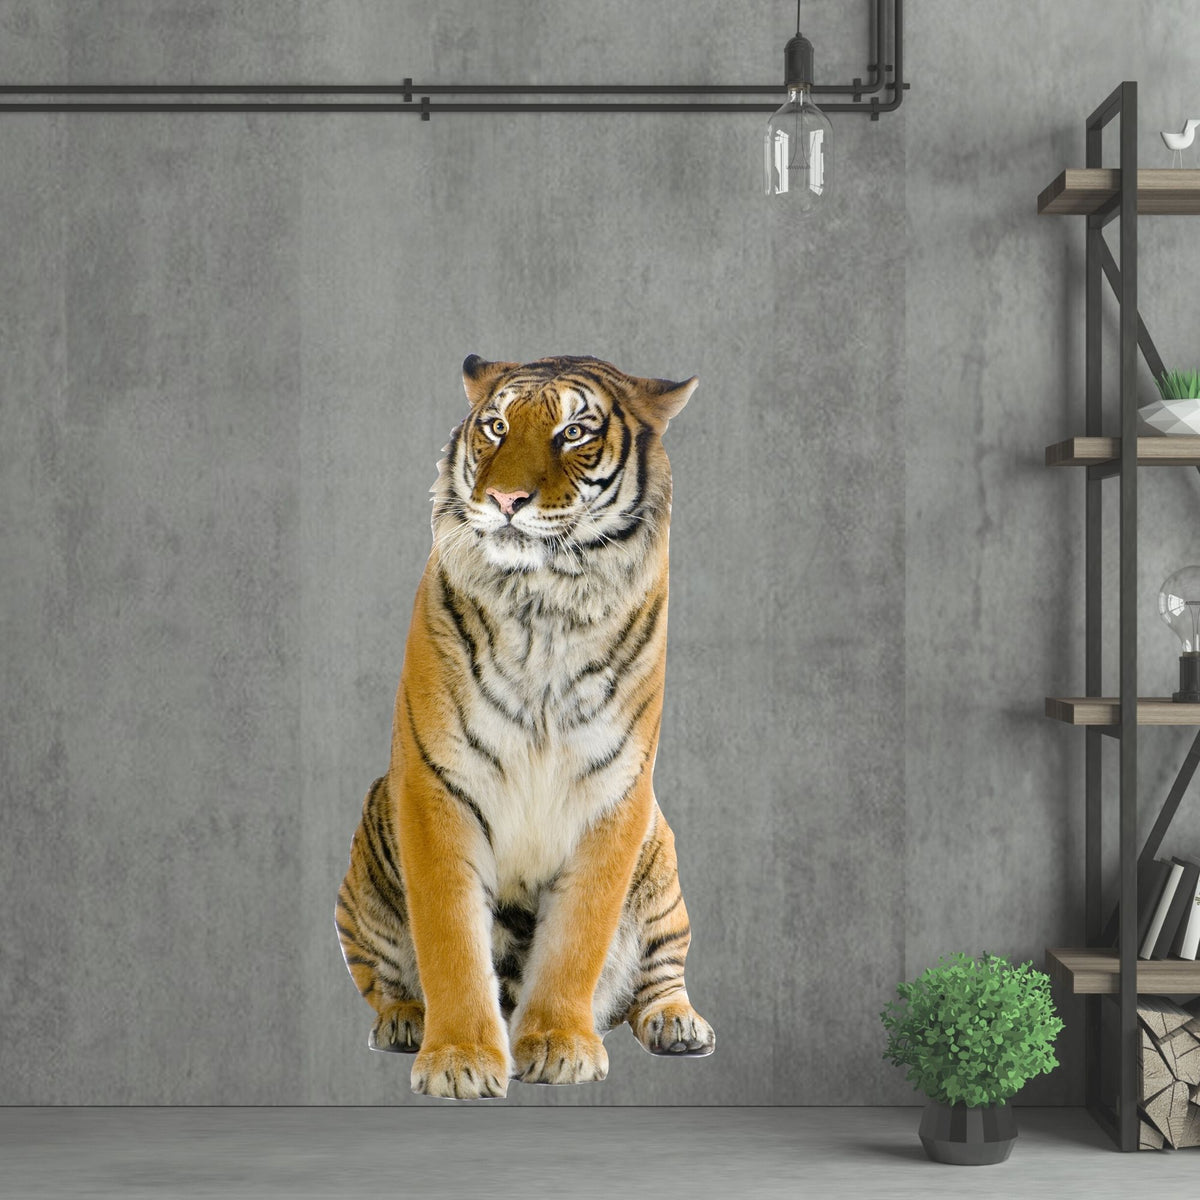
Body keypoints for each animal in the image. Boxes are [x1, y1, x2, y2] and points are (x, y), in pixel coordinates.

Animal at [335, 354, 714, 1099]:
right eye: (497, 427)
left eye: (574, 432)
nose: (506, 499)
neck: (544, 603)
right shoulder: (436, 787)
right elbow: (450, 939)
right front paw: (458, 1059)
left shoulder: (613, 795)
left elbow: (578, 937)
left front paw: (560, 1046)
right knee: (384, 977)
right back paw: (404, 1020)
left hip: (662, 869)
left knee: (659, 973)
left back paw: (678, 1024)